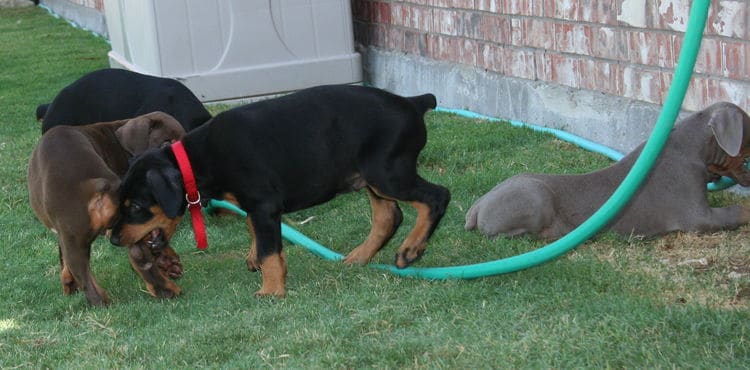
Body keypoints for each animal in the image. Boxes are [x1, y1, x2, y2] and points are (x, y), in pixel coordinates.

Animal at [30, 111, 187, 304]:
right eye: (166, 142)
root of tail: (96, 182)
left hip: (75, 238)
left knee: (88, 275)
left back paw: (102, 303)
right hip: (126, 221)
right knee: (141, 251)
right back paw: (165, 289)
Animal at [110, 84, 452, 298]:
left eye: (136, 206)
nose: (113, 239)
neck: (197, 159)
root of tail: (412, 102)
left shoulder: (263, 203)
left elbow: (270, 249)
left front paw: (271, 290)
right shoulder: (257, 207)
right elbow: (256, 232)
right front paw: (255, 260)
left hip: (387, 173)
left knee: (437, 196)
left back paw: (410, 250)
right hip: (373, 178)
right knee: (388, 217)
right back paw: (359, 257)